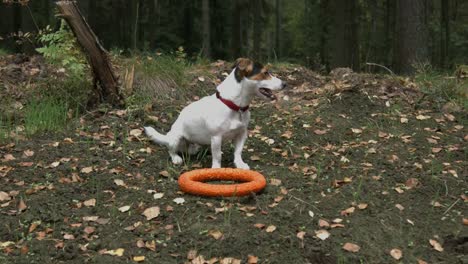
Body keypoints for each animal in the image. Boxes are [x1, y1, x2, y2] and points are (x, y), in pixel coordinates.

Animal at [144, 58, 288, 169]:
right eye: (265, 73)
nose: (285, 84)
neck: (235, 106)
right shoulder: (216, 137)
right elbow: (217, 155)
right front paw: (216, 169)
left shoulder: (242, 133)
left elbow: (238, 151)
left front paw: (239, 164)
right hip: (175, 138)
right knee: (171, 150)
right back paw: (176, 158)